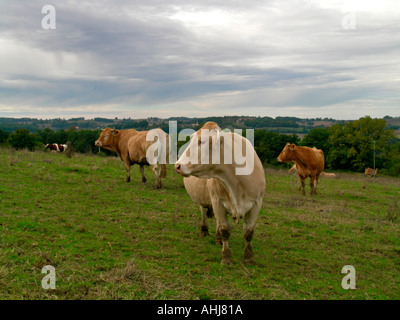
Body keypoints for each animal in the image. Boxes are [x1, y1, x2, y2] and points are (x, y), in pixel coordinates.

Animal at [175, 121, 266, 264]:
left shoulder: (257, 203)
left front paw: (249, 257)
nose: (177, 165)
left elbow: (248, 232)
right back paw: (204, 231)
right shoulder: (217, 202)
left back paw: (218, 239)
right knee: (203, 212)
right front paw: (226, 257)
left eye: (201, 141)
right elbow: (225, 230)